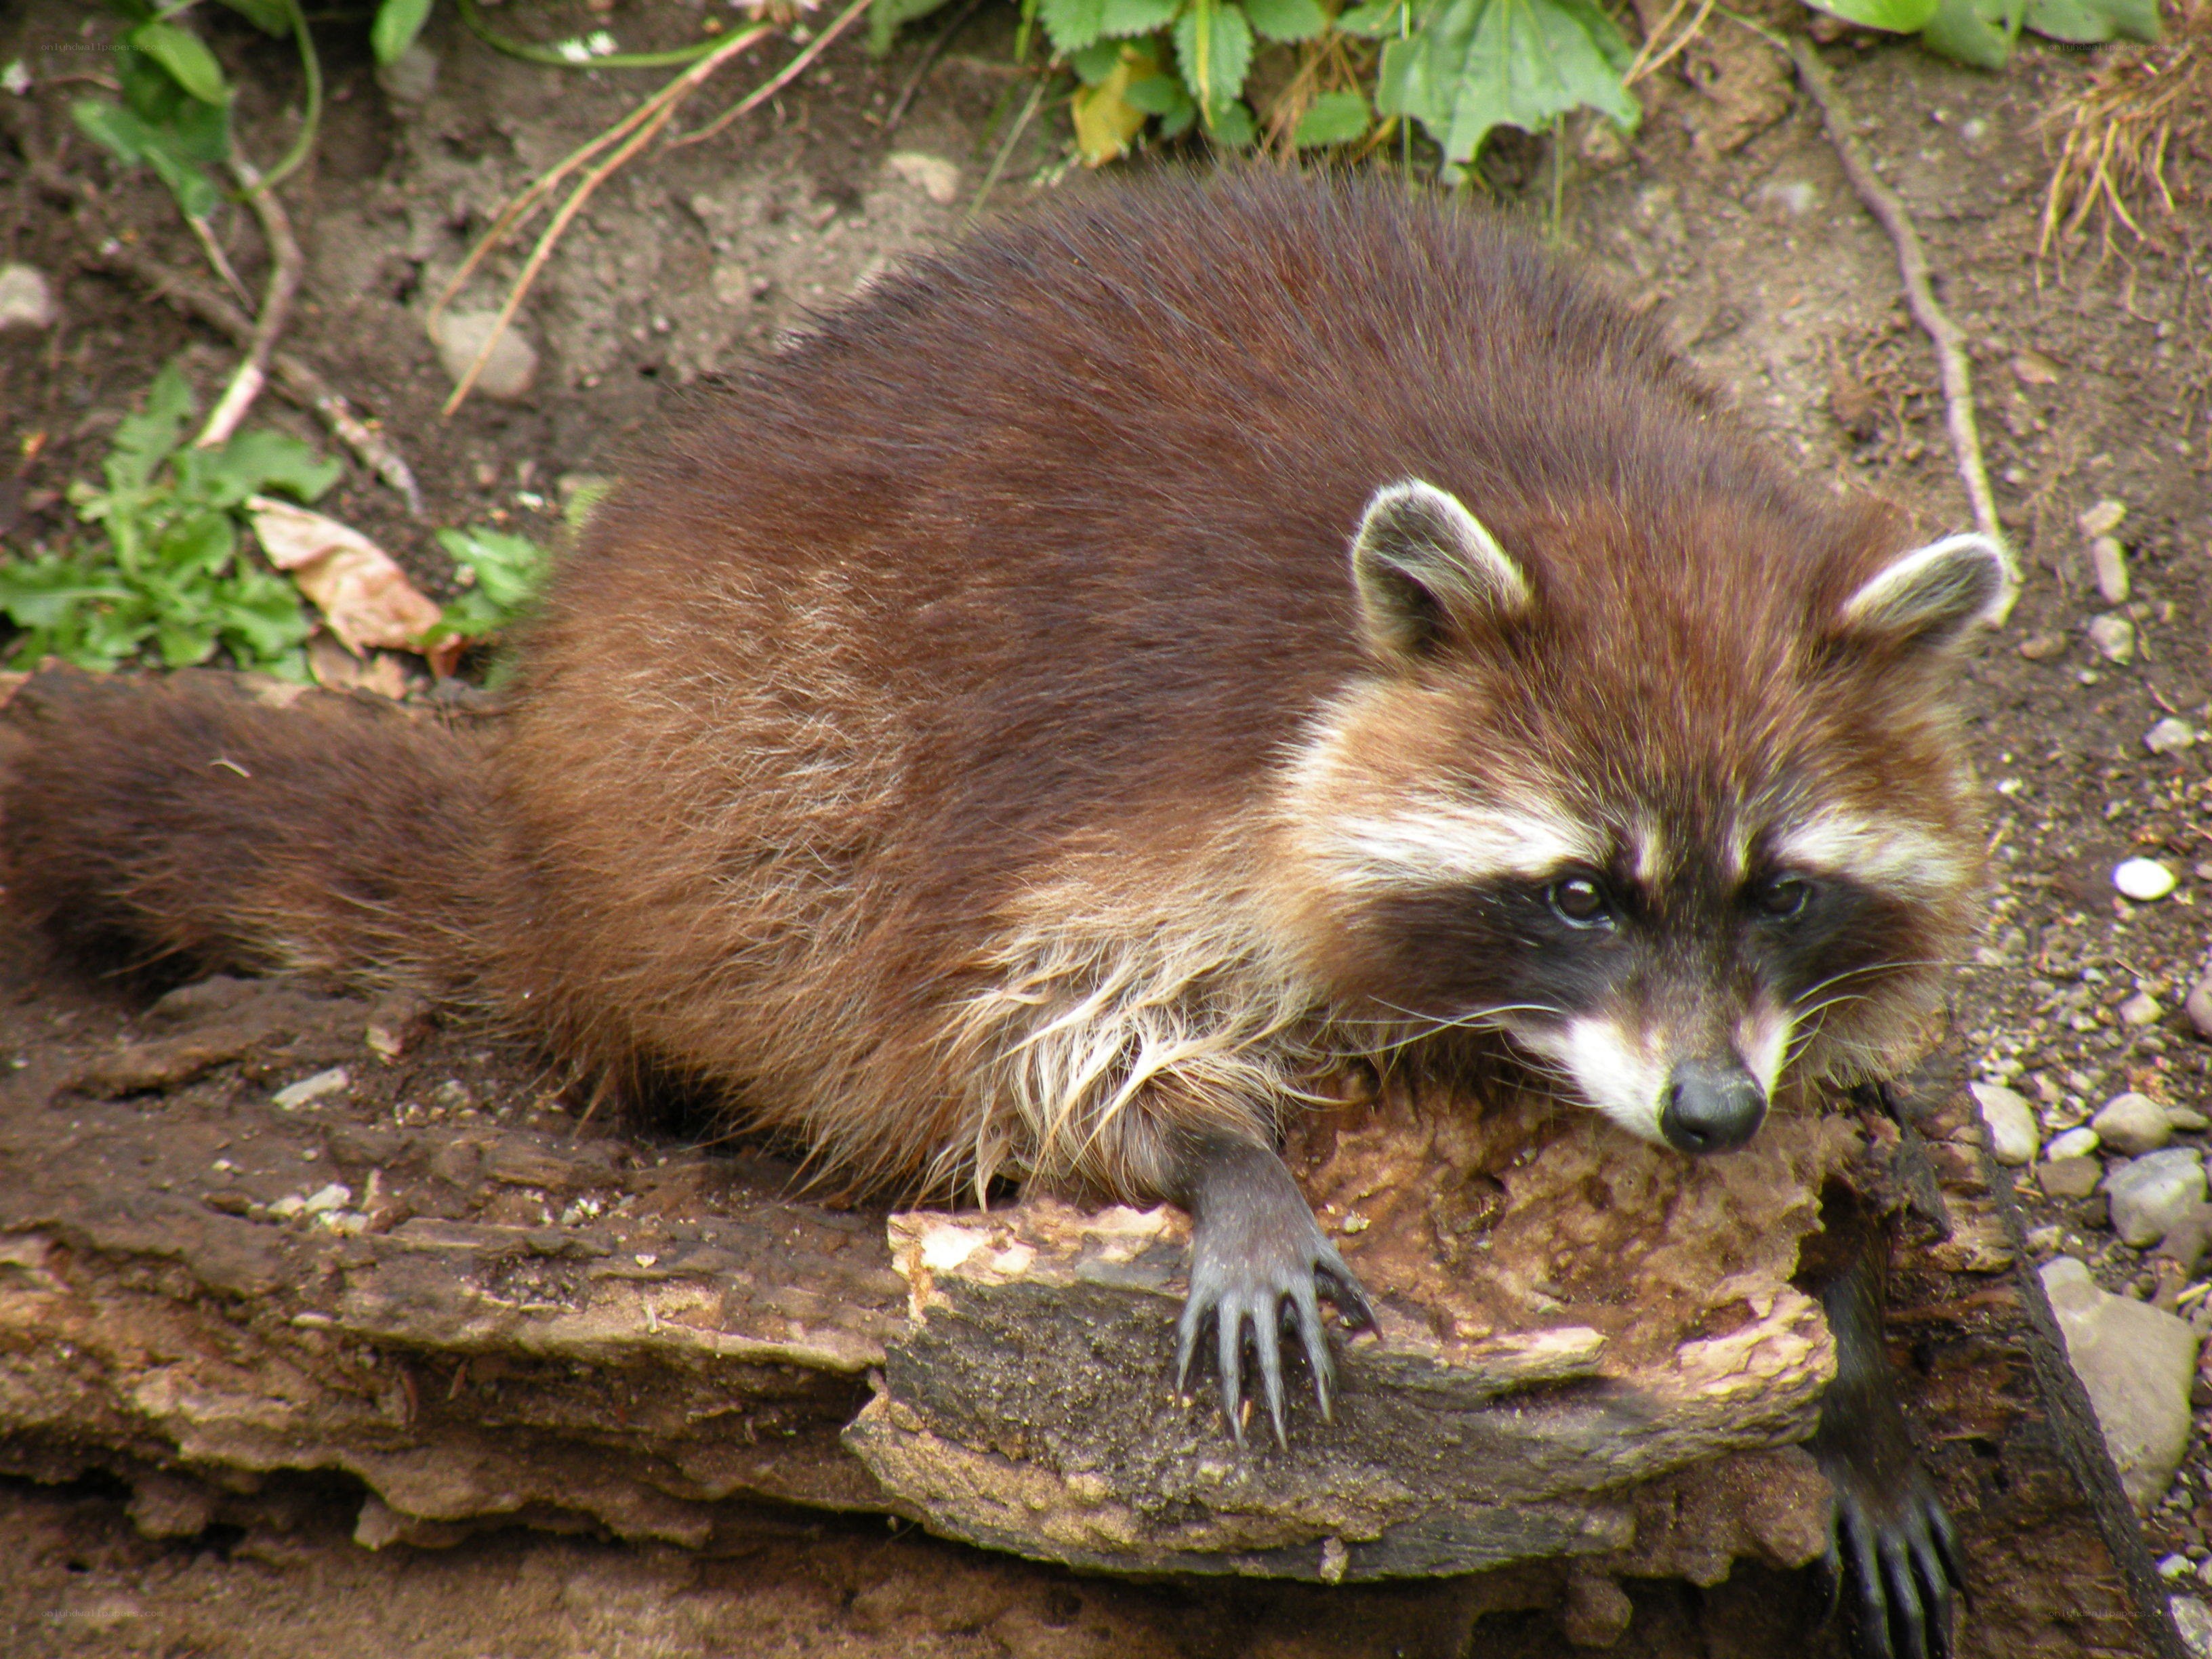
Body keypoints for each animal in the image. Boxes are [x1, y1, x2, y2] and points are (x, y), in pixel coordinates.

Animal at [5, 173, 1995, 1653]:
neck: (1607, 491)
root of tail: (549, 821)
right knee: (810, 892)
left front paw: (1848, 1329)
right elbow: (1015, 1013)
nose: (1706, 1112)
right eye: (1580, 890)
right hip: (734, 727)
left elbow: (1846, 1121)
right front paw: (1216, 1153)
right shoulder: (1144, 773)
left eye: (1782, 888)